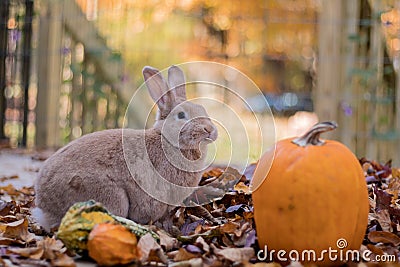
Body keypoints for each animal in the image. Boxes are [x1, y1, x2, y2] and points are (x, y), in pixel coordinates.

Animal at [32, 65, 217, 232]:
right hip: (112, 197)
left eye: (202, 109)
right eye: (181, 115)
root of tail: (44, 207)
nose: (209, 129)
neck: (168, 141)